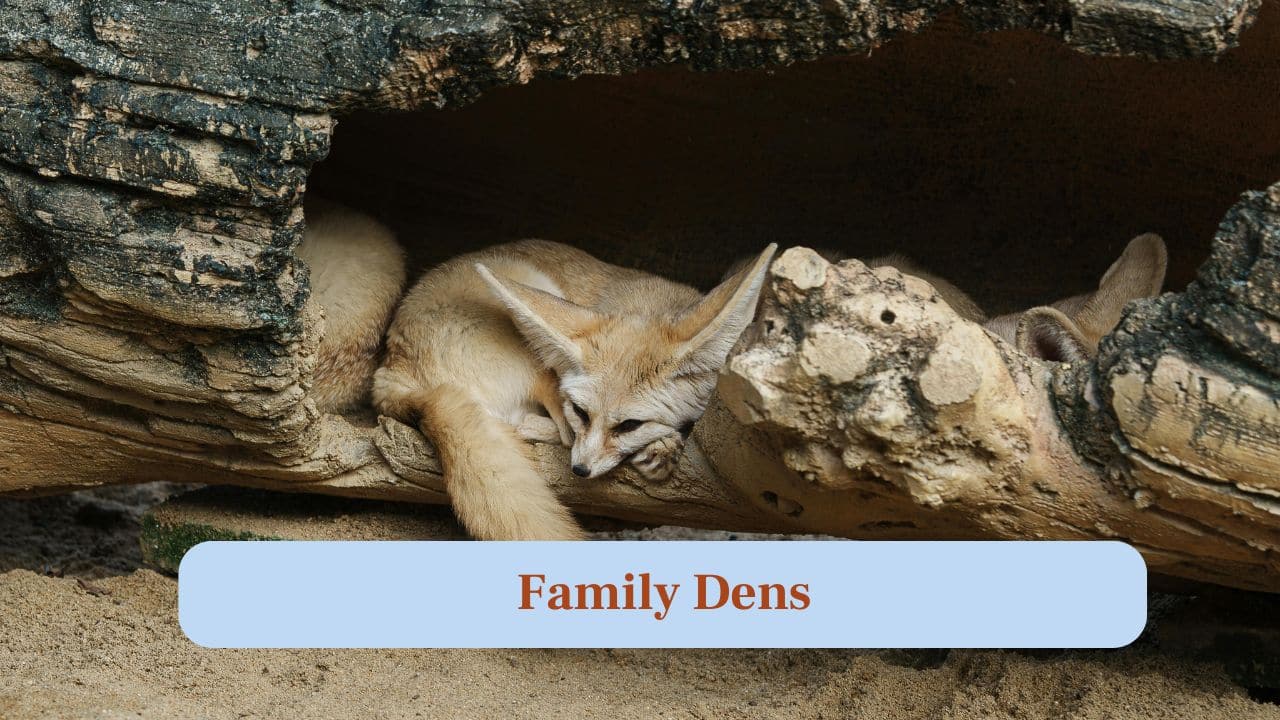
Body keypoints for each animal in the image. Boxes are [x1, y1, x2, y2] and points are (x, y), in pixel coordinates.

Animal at [373, 240, 778, 541]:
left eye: (628, 425)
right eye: (581, 413)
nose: (580, 470)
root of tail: (392, 370)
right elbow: (568, 433)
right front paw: (663, 444)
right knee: (535, 428)